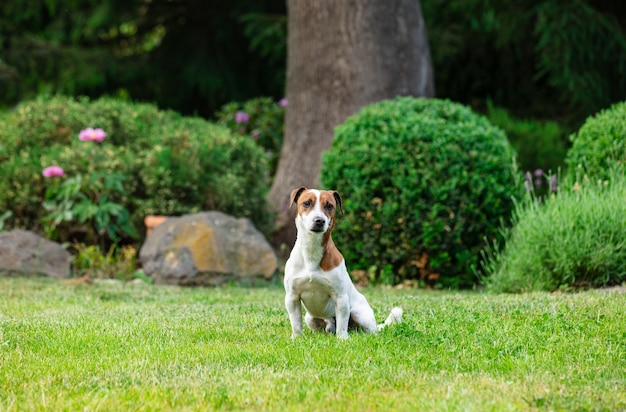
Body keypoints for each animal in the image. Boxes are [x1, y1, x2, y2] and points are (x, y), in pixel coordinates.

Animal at [282, 187, 400, 338]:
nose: (319, 220)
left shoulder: (341, 298)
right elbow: (296, 323)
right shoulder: (292, 297)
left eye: (329, 206)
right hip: (310, 318)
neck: (311, 251)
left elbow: (342, 324)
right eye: (307, 203)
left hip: (360, 316)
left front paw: (342, 339)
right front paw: (296, 338)